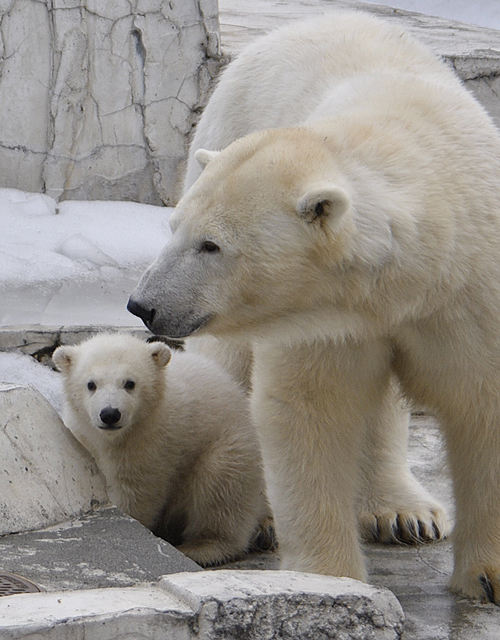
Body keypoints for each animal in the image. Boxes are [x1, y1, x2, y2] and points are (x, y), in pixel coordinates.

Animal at [128, 12, 500, 604]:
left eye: (212, 245)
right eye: (174, 228)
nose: (144, 305)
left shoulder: (468, 297)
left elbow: (482, 403)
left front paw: (487, 577)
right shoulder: (319, 318)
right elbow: (310, 410)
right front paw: (332, 580)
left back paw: (404, 512)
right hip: (220, 133)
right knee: (230, 370)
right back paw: (259, 521)